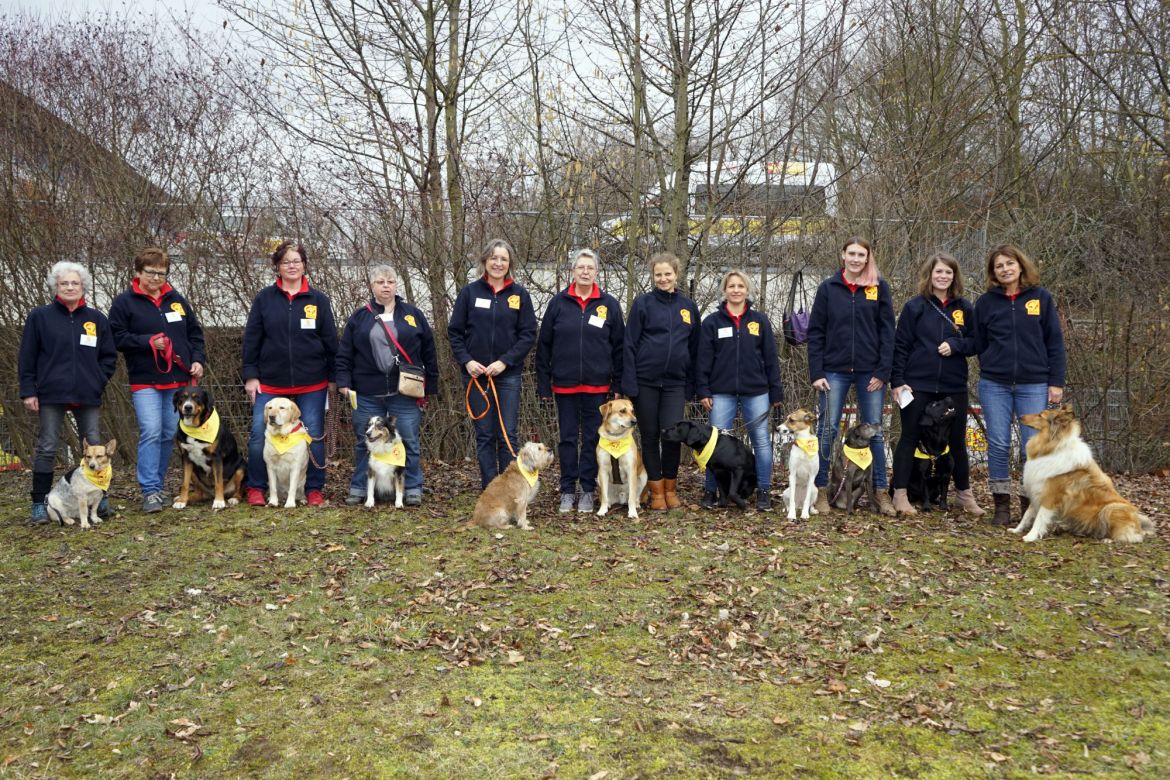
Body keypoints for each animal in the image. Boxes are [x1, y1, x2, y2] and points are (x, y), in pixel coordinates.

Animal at [1015, 409, 1151, 542]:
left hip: (1111, 508)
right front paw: (1016, 529)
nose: (1020, 417)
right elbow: (1027, 514)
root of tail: (1139, 524)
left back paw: (1108, 539)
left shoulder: (1050, 496)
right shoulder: (1037, 490)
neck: (1053, 447)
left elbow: (1039, 518)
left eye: (1040, 415)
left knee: (1130, 536)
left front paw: (1030, 536)